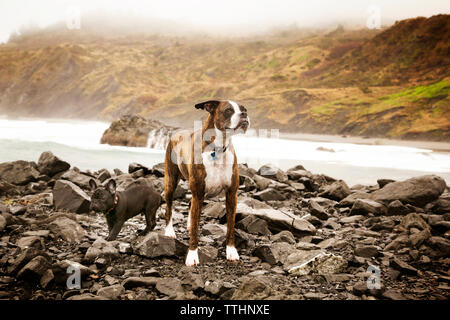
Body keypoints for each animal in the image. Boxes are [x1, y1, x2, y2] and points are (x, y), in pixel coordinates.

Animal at [164, 101, 250, 266]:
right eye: (228, 110)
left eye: (244, 109)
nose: (244, 114)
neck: (218, 148)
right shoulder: (199, 193)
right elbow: (195, 231)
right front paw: (192, 255)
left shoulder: (231, 195)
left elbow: (230, 226)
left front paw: (231, 251)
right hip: (170, 182)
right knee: (169, 207)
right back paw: (169, 231)